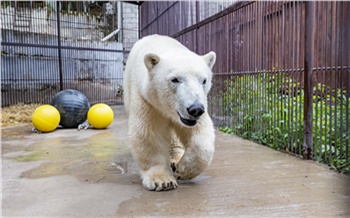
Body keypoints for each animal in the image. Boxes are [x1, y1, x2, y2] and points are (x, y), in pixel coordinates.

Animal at [124, 34, 215, 191]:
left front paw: (183, 170)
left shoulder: (200, 106)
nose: (195, 109)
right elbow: (148, 133)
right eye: (175, 79)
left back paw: (175, 160)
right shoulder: (146, 100)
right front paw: (162, 180)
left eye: (204, 80)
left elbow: (201, 134)